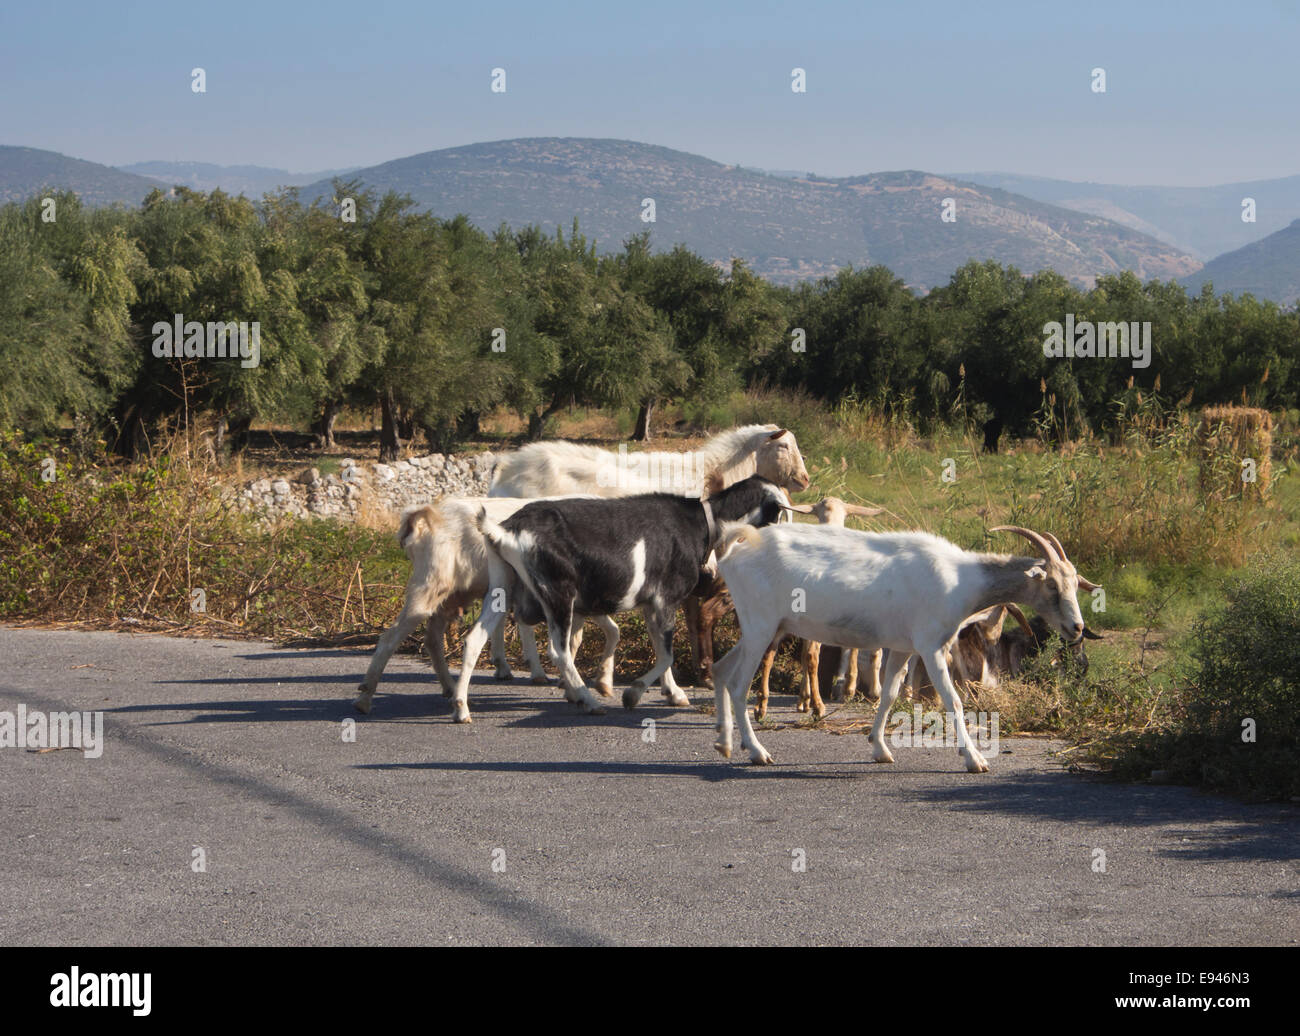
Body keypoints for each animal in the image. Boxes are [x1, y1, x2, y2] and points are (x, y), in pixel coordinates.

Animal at [452, 475, 785, 717]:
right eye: (779, 513)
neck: (702, 523)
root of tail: (506, 529)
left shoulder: (651, 605)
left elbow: (660, 648)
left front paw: (673, 694)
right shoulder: (665, 599)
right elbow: (667, 654)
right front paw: (632, 694)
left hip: (502, 585)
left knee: (474, 639)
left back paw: (461, 708)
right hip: (558, 593)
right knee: (558, 651)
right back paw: (588, 700)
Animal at [712, 525, 1097, 769]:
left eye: (1074, 584)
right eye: (1051, 586)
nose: (1076, 628)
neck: (961, 579)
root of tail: (737, 549)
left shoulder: (902, 648)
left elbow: (890, 695)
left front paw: (880, 749)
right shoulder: (931, 646)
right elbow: (953, 700)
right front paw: (974, 759)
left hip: (760, 629)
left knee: (720, 669)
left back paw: (725, 743)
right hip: (761, 626)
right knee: (738, 684)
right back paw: (757, 752)